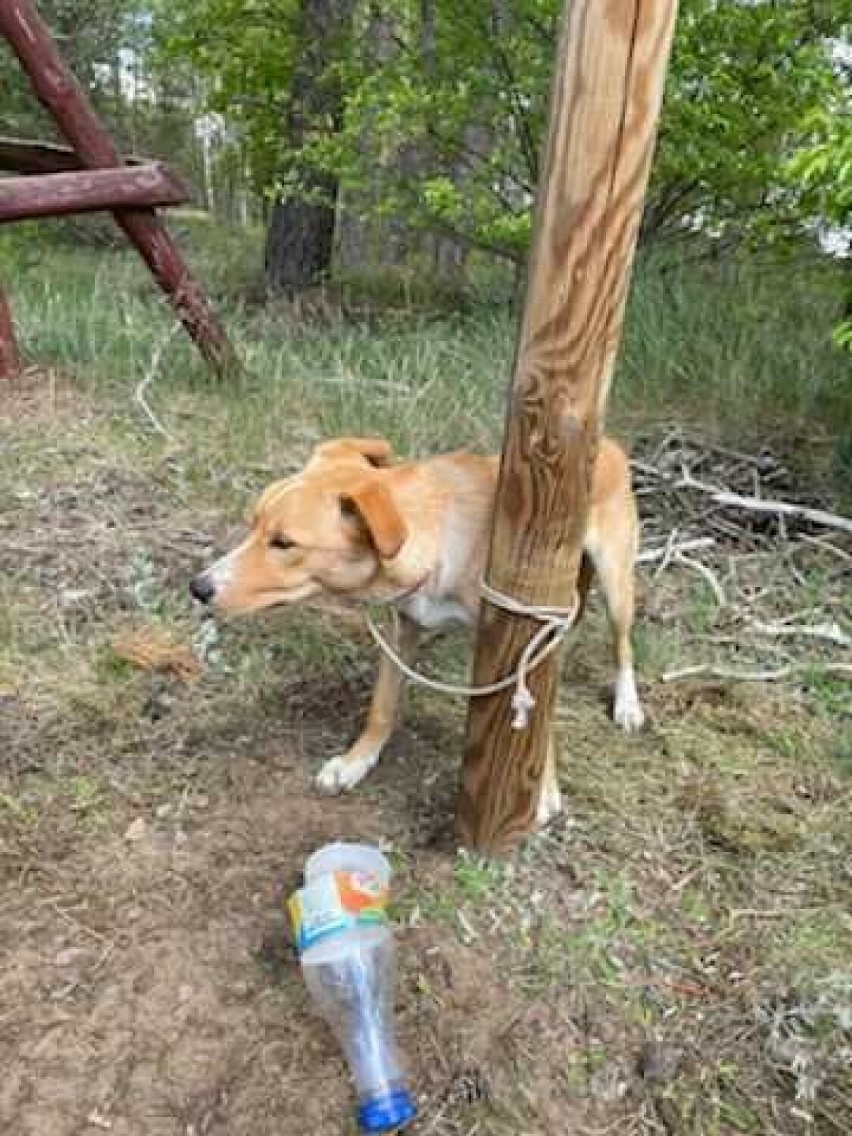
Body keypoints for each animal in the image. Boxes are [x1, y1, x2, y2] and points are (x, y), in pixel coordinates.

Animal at [191, 436, 645, 827]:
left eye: (284, 543)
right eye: (253, 525)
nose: (198, 587)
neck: (440, 542)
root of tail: (609, 442)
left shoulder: (533, 633)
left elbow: (540, 719)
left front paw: (543, 790)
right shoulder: (402, 629)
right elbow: (382, 705)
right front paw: (356, 761)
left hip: (615, 584)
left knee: (623, 645)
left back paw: (627, 704)